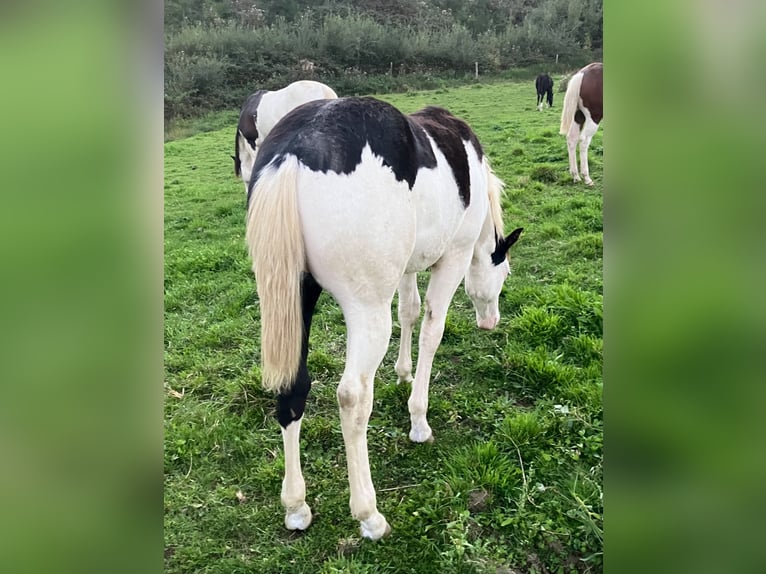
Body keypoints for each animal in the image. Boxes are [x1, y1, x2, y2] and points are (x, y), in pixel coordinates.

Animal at [245, 97, 523, 540]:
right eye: (505, 272)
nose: (490, 321)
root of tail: (296, 149)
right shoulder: (455, 258)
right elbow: (431, 329)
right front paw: (418, 419)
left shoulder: (407, 268)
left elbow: (409, 312)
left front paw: (403, 373)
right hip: (366, 311)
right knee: (353, 396)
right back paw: (368, 513)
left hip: (294, 300)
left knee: (293, 387)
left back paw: (296, 506)